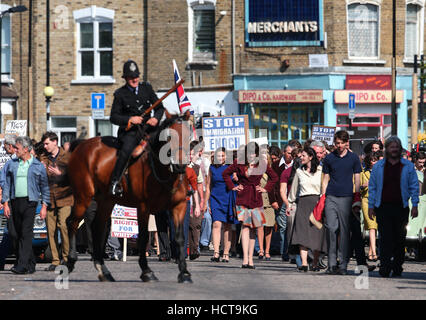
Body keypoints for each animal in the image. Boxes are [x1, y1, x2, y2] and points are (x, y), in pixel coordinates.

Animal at [65, 112, 191, 282]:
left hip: (106, 201)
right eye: (169, 136)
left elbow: (179, 238)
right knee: (72, 223)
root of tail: (82, 145)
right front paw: (147, 271)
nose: (180, 165)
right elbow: (143, 237)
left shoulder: (179, 206)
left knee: (97, 227)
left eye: (189, 135)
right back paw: (70, 261)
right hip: (83, 196)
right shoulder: (144, 207)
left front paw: (184, 272)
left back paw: (103, 269)